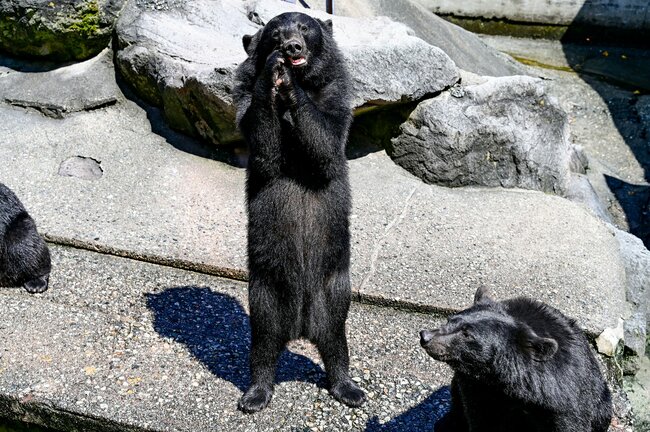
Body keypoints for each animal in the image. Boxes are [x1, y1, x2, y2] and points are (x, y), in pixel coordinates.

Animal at [232, 11, 364, 414]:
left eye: (305, 28)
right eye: (276, 34)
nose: (292, 48)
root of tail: (302, 327)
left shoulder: (337, 93)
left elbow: (326, 145)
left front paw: (289, 85)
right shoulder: (243, 96)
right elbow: (264, 146)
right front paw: (274, 72)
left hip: (334, 286)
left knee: (337, 339)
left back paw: (348, 387)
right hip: (265, 290)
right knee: (262, 342)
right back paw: (255, 394)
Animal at [418, 286, 612, 432]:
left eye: (467, 334)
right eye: (449, 319)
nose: (425, 336)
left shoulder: (562, 401)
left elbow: (569, 425)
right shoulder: (474, 386)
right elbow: (480, 417)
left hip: (602, 406)